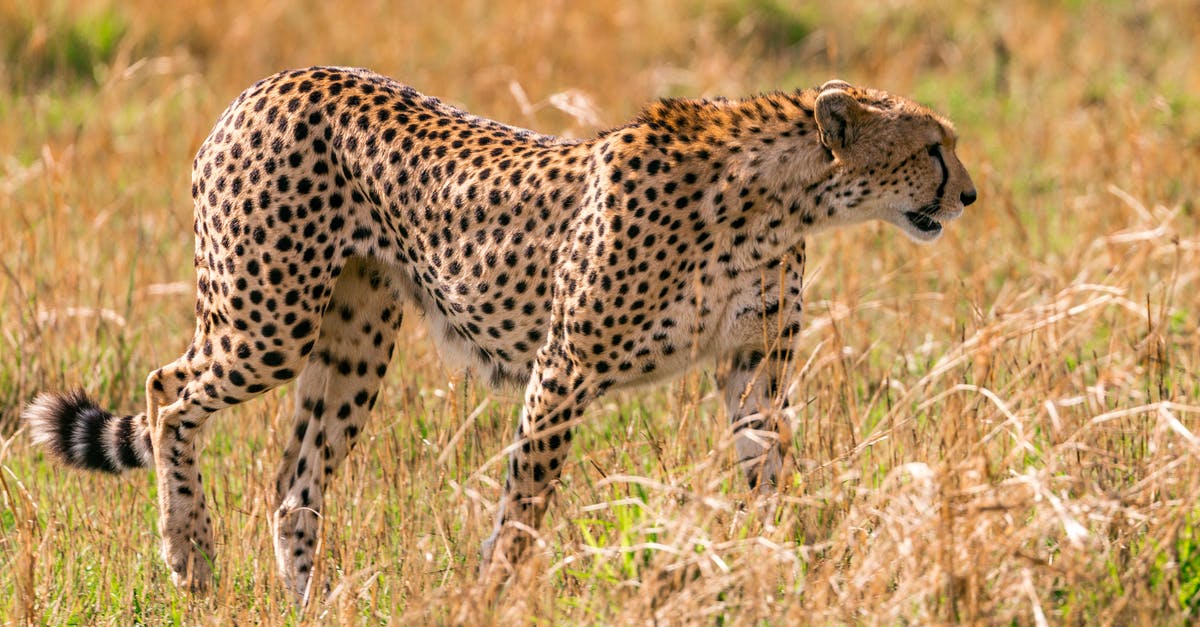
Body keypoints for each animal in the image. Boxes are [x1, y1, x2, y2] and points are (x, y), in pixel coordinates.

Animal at [21, 65, 974, 598]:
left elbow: (771, 473)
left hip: (353, 338)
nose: (968, 194)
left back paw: (311, 602)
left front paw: (790, 567)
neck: (779, 193)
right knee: (166, 393)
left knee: (293, 481)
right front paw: (492, 590)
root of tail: (269, 83)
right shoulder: (566, 364)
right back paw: (189, 554)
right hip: (270, 317)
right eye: (932, 146)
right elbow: (525, 501)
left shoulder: (753, 368)